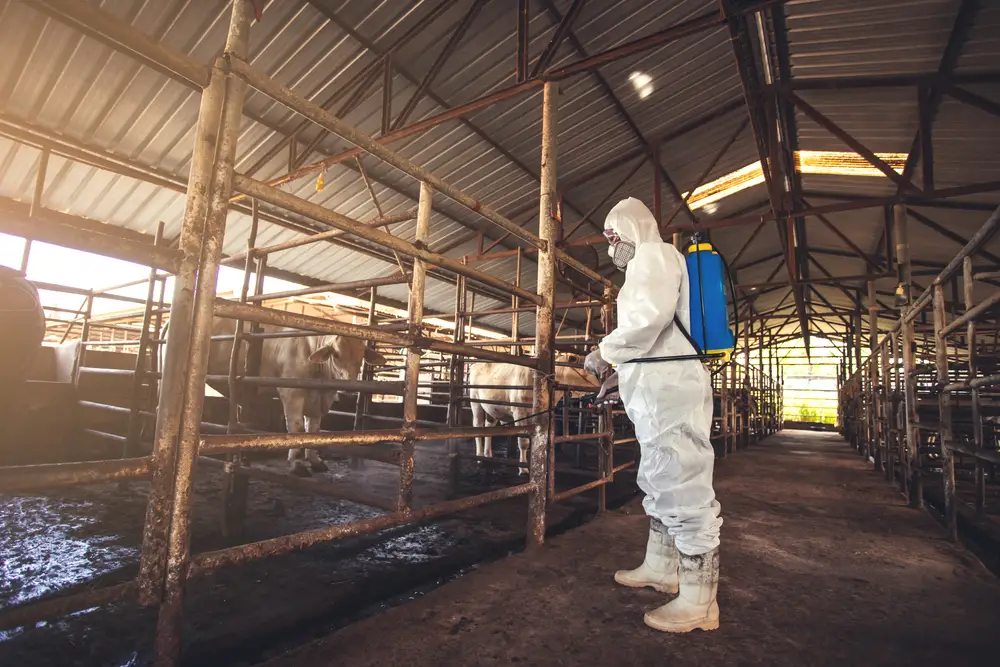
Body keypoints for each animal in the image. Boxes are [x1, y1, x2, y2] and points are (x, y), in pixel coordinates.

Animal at [204, 316, 386, 478]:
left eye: (361, 356)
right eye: (335, 354)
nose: (349, 385)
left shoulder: (318, 402)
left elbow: (314, 430)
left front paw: (315, 461)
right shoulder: (291, 393)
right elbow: (297, 429)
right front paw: (297, 465)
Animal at [466, 354, 596, 474]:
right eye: (588, 369)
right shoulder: (519, 411)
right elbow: (524, 442)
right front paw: (523, 469)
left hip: (491, 407)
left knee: (489, 427)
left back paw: (488, 454)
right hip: (475, 401)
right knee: (478, 426)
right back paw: (479, 457)